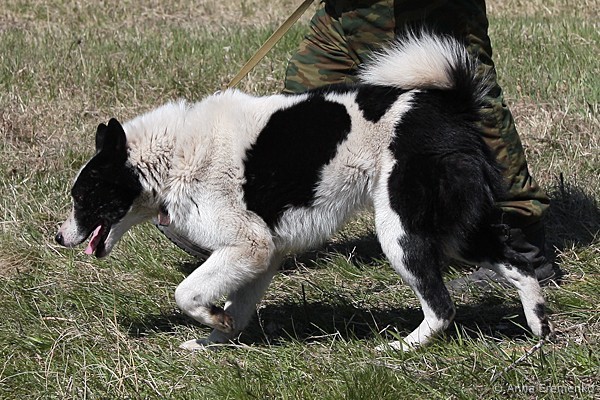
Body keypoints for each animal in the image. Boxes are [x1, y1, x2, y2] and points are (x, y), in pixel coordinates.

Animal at [55, 33, 552, 351]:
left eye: (83, 199)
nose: (58, 237)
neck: (171, 156)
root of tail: (450, 107)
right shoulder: (262, 254)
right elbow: (236, 309)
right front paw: (213, 340)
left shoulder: (248, 245)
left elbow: (187, 293)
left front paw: (209, 321)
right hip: (451, 229)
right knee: (518, 264)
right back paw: (539, 326)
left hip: (402, 233)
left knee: (442, 307)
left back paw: (401, 348)